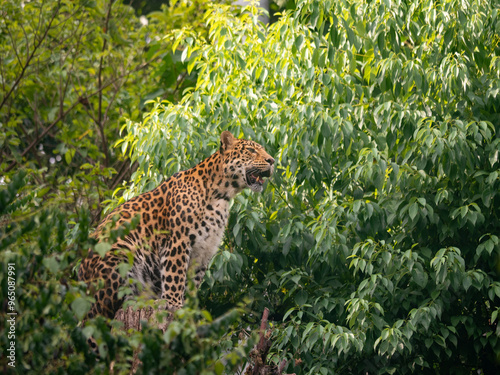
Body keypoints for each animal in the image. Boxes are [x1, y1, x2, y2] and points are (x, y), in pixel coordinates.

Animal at [77, 131, 276, 352]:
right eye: (250, 150)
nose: (272, 161)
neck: (222, 196)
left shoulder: (203, 252)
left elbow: (192, 285)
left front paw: (190, 312)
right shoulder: (177, 241)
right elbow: (175, 277)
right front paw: (174, 305)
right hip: (120, 250)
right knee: (103, 313)